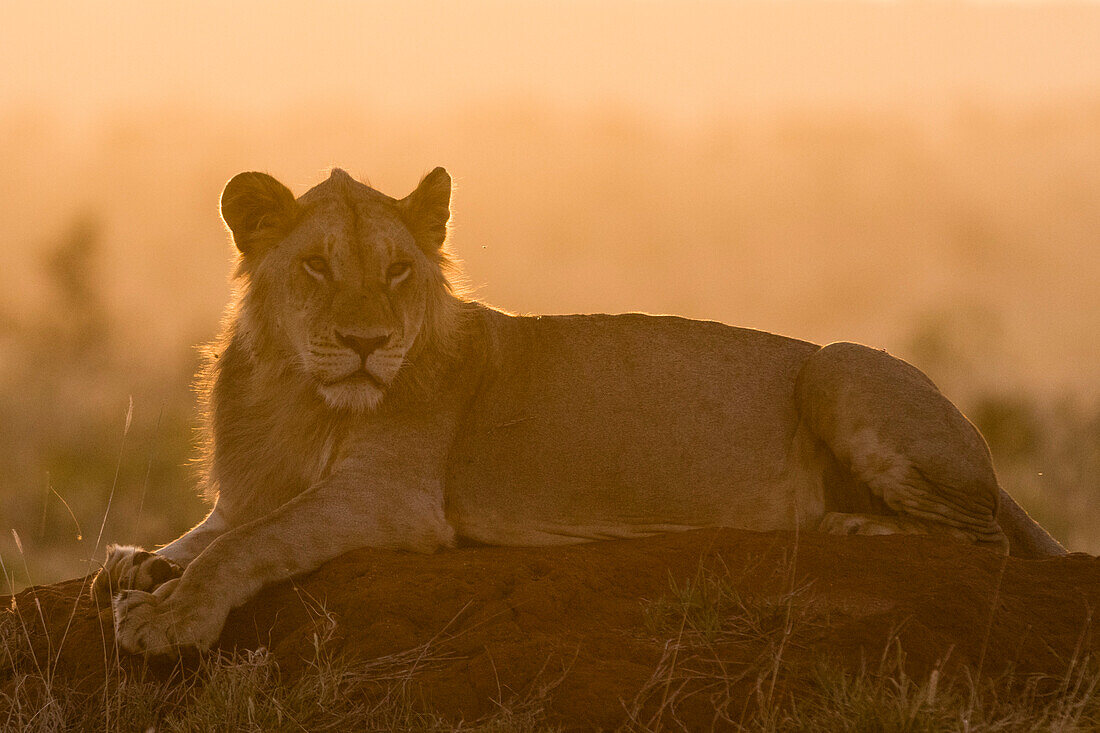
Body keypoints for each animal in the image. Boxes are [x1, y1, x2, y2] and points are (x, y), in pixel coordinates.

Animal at [96, 168, 1064, 651]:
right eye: (316, 266)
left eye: (398, 270)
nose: (369, 342)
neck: (292, 387)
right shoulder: (249, 487)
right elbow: (212, 531)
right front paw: (142, 562)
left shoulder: (392, 499)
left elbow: (251, 544)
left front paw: (169, 617)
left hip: (834, 365)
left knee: (980, 539)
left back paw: (849, 525)